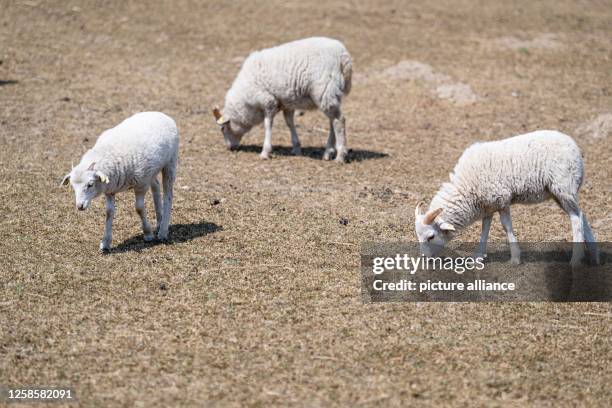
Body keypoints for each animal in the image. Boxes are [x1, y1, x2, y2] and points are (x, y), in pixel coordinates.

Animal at [60, 112, 178, 252]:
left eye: (90, 184)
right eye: (73, 187)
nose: (80, 206)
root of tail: (160, 113)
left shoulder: (141, 184)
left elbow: (139, 208)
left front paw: (148, 234)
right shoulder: (110, 190)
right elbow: (109, 213)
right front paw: (105, 242)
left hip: (170, 162)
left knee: (168, 194)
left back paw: (163, 231)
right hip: (152, 171)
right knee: (156, 187)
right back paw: (159, 221)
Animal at [213, 35, 352, 162]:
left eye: (223, 128)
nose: (230, 148)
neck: (245, 101)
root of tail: (343, 55)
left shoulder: (268, 101)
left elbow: (268, 124)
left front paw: (265, 152)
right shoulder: (286, 102)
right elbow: (289, 123)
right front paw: (296, 148)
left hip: (324, 91)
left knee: (339, 121)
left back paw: (340, 156)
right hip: (332, 94)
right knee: (332, 121)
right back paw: (328, 152)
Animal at [414, 129, 600, 266]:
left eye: (431, 236)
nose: (424, 259)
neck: (466, 186)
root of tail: (576, 148)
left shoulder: (501, 199)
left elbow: (506, 226)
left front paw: (515, 258)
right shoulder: (488, 204)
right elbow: (485, 228)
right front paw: (478, 256)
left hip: (563, 185)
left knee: (575, 218)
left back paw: (575, 260)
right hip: (560, 192)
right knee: (581, 215)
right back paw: (593, 256)